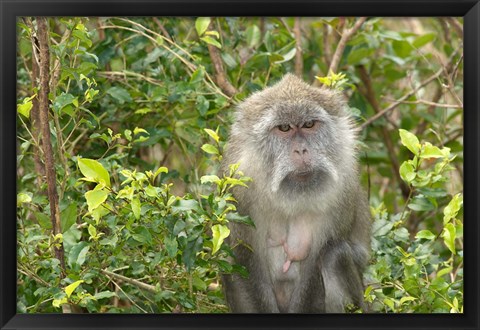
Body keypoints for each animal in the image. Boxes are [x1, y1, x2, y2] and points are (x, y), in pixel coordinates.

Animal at [221, 73, 372, 314]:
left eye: (309, 124)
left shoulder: (342, 186)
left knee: (334, 255)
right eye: (284, 128)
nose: (301, 150)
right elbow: (242, 259)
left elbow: (315, 268)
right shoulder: (238, 185)